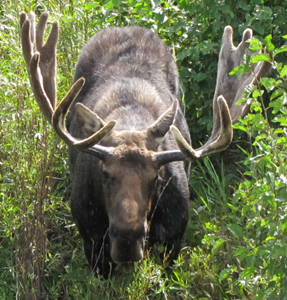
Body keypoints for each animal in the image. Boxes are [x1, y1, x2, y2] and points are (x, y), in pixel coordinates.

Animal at [19, 12, 272, 278]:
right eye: (105, 174)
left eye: (156, 178)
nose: (127, 243)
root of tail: (126, 27)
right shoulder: (91, 238)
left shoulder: (174, 235)